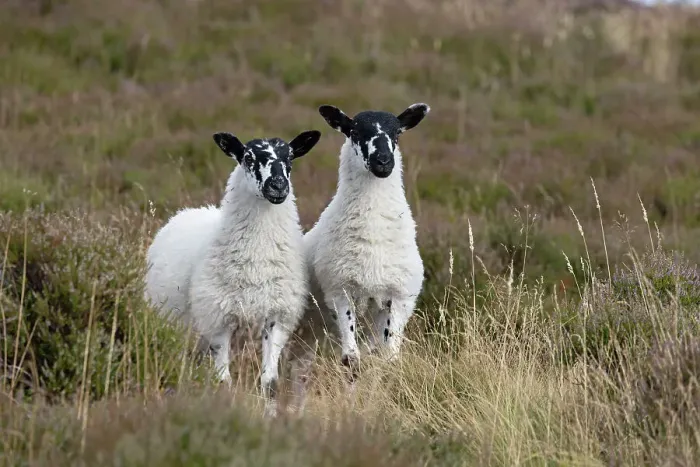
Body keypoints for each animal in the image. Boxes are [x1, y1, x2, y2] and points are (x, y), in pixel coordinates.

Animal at [144, 129, 321, 416]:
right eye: (248, 158)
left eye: (290, 159)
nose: (278, 186)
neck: (256, 261)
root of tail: (187, 212)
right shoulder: (219, 321)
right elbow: (223, 382)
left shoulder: (277, 319)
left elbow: (270, 382)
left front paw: (270, 417)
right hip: (174, 322)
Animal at [287, 103, 430, 404]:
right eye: (353, 131)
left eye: (397, 133)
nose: (383, 162)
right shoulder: (341, 293)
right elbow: (351, 361)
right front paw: (352, 404)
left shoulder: (398, 299)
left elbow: (388, 361)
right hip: (306, 331)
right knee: (298, 370)